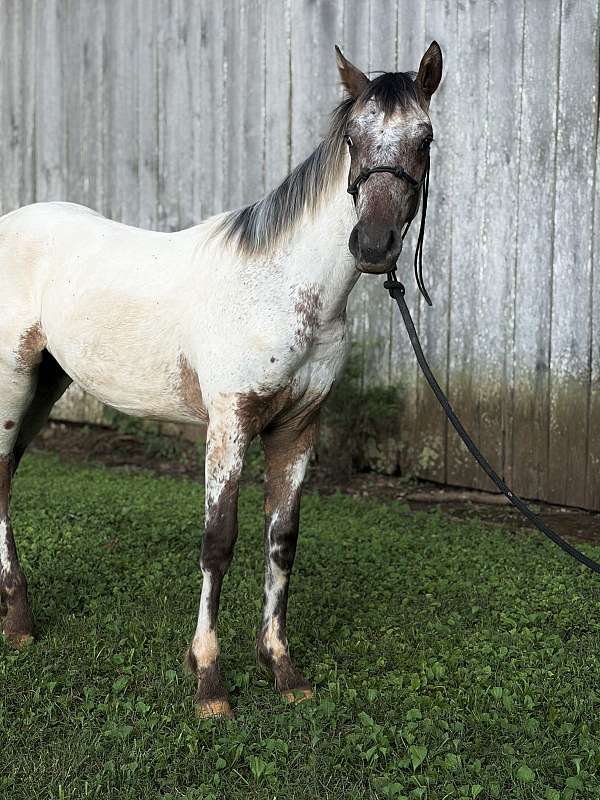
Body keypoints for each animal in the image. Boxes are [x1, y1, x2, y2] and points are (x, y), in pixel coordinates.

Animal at [0, 42, 442, 718]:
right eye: (353, 137)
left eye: (424, 137)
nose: (372, 244)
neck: (282, 284)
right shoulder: (230, 423)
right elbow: (219, 541)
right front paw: (209, 680)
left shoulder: (298, 427)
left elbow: (281, 538)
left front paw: (282, 669)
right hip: (11, 384)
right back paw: (22, 624)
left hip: (44, 388)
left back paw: (14, 619)